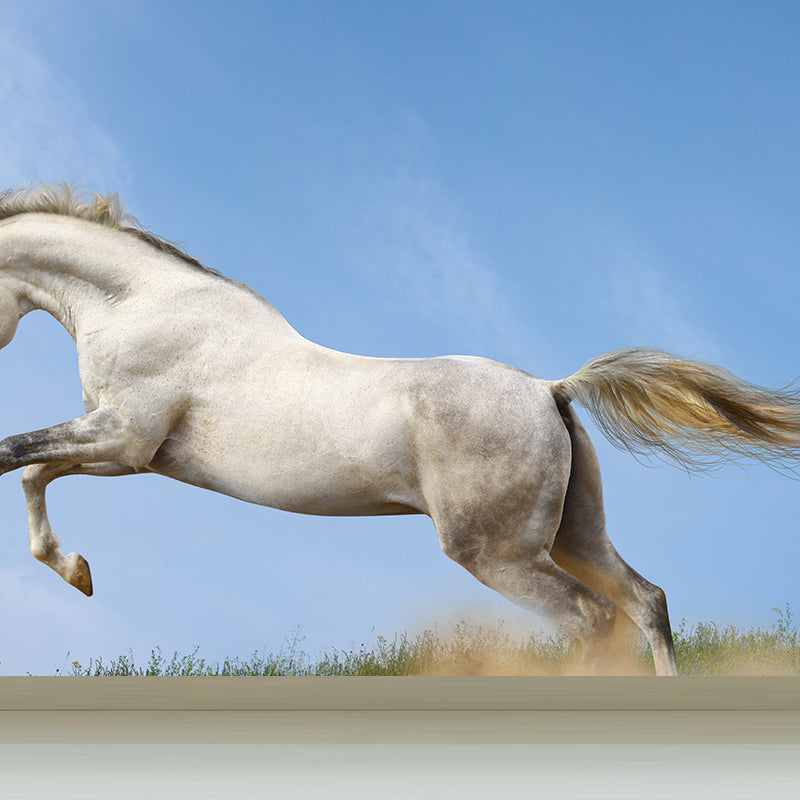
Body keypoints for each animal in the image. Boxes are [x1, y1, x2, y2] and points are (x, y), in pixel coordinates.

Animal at [3, 185, 800, 676]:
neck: (139, 302)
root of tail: (550, 390)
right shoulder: (129, 453)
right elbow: (34, 468)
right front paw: (77, 572)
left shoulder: (122, 436)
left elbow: (14, 453)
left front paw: (72, 570)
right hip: (573, 534)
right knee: (644, 602)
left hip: (498, 552)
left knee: (590, 618)